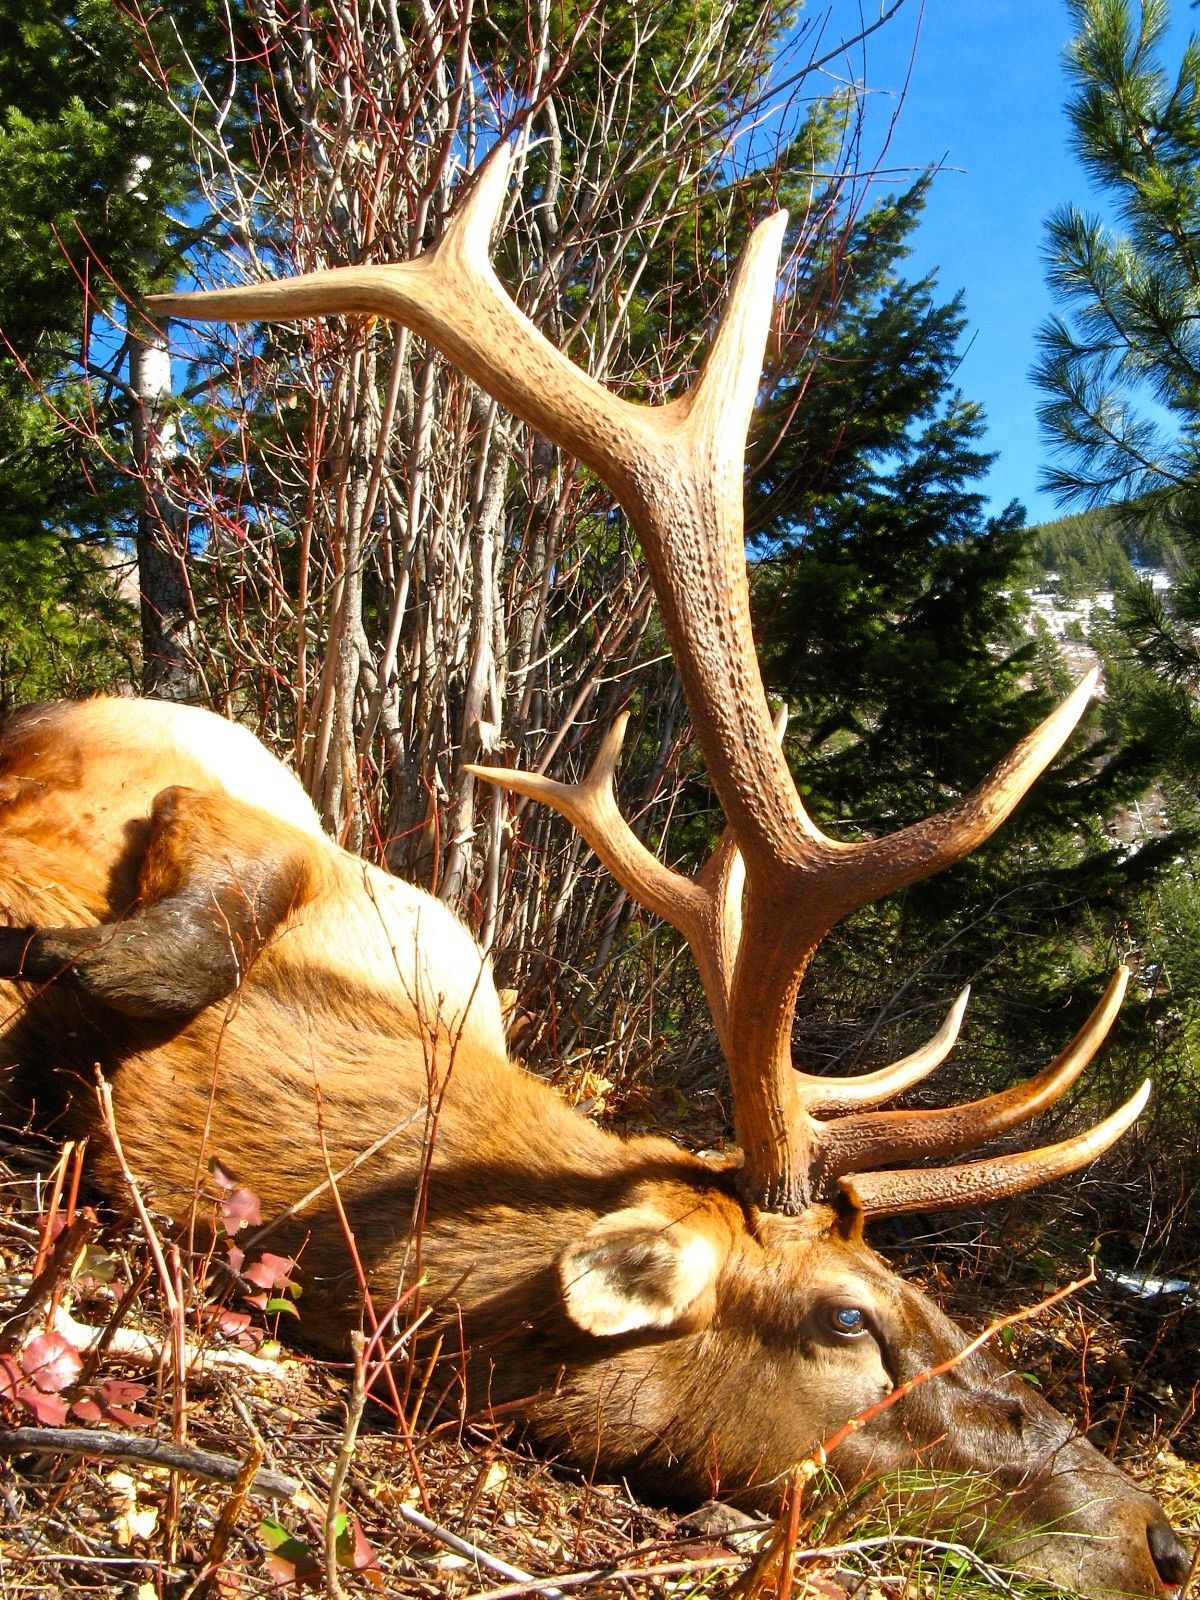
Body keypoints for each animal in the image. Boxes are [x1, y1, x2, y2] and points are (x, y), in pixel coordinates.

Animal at [0, 147, 1189, 1597]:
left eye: (940, 1299)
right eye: (850, 1318)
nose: (1157, 1533)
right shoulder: (170, 786)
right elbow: (184, 917)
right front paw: (73, 962)